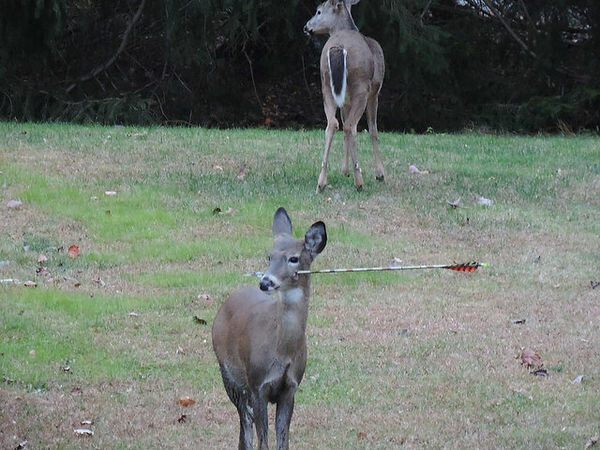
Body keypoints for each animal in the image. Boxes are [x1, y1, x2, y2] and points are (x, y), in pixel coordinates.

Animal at [212, 207, 328, 450]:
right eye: (269, 256)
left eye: (293, 258)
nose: (265, 282)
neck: (282, 351)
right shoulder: (258, 385)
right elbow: (263, 442)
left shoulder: (290, 388)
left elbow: (282, 442)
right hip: (229, 372)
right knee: (244, 423)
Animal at [302, 0, 386, 192]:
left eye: (318, 11)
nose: (306, 27)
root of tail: (339, 47)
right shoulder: (375, 92)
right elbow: (373, 130)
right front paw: (380, 174)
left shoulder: (345, 99)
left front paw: (344, 170)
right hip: (361, 86)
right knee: (350, 126)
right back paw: (359, 180)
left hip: (325, 83)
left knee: (333, 124)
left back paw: (322, 181)